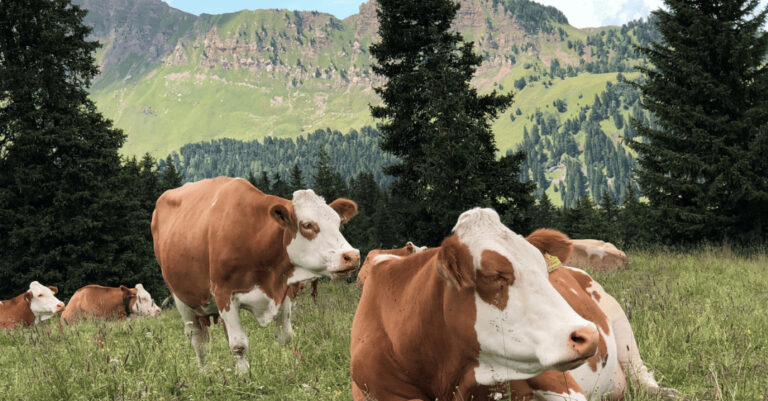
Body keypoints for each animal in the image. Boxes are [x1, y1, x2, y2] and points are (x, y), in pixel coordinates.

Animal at [152, 177, 360, 372]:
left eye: (339, 222)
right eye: (307, 225)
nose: (352, 256)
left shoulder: (283, 291)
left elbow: (285, 337)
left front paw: (290, 368)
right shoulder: (224, 294)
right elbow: (238, 345)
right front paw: (244, 377)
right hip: (182, 299)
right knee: (199, 341)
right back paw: (205, 372)